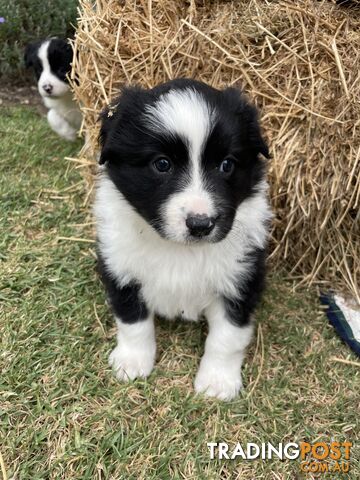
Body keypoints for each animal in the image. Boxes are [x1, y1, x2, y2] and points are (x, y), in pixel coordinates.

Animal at [94, 79, 272, 402]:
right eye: (162, 164)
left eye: (227, 165)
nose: (201, 224)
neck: (179, 251)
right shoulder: (120, 266)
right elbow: (132, 320)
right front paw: (132, 361)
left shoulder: (242, 278)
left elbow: (227, 337)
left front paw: (217, 381)